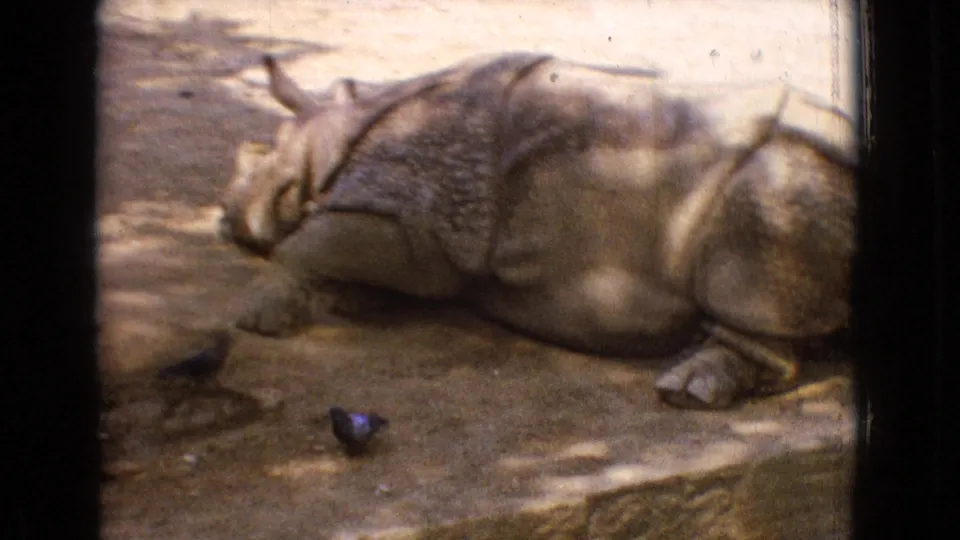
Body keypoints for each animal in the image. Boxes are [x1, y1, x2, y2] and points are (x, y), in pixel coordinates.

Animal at [218, 52, 856, 410]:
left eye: (264, 158)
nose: (225, 218)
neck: (333, 137)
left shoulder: (406, 221)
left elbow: (305, 246)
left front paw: (260, 319)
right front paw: (348, 302)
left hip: (785, 170)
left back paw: (686, 388)